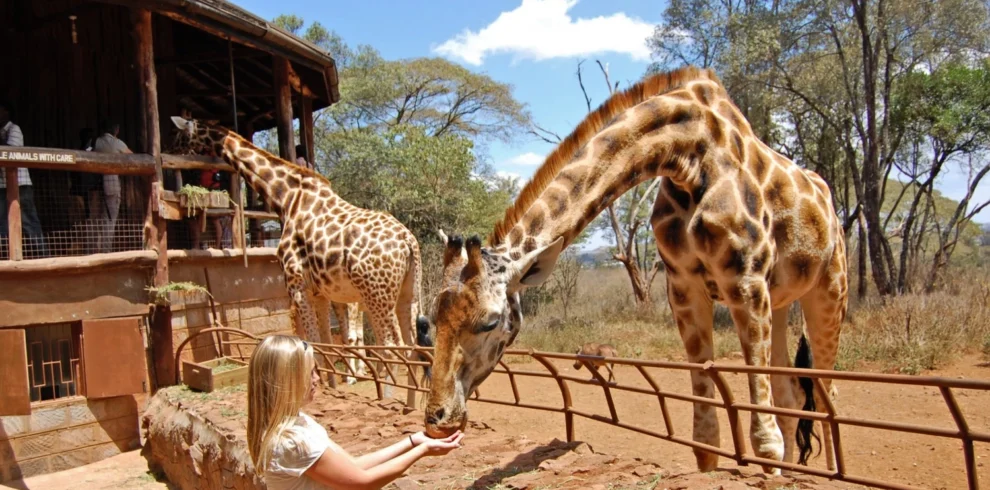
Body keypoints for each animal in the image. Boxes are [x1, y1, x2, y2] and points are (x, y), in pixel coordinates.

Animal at [168, 116, 428, 405]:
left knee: (393, 347)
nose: (171, 156)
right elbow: (326, 342)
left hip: (376, 295)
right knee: (412, 345)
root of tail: (408, 241)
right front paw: (331, 385)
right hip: (407, 292)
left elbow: (312, 343)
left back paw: (388, 399)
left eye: (178, 136)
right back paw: (409, 404)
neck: (286, 198)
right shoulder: (320, 292)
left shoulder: (295, 285)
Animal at [422, 66, 847, 474]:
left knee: (829, 395)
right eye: (432, 319)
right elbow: (705, 435)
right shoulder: (684, 288)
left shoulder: (745, 281)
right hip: (781, 300)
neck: (688, 155)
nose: (437, 419)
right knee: (791, 390)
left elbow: (765, 438)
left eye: (491, 322)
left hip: (828, 290)